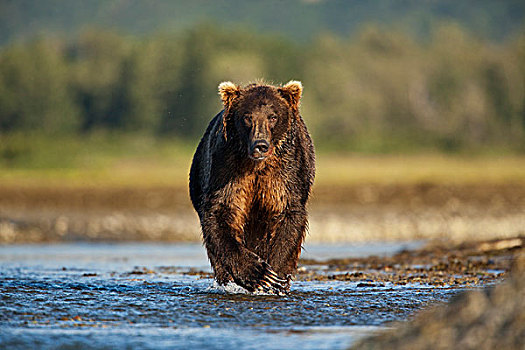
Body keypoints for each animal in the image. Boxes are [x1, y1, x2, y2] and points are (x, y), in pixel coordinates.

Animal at [189, 80, 316, 294]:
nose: (260, 145)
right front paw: (260, 274)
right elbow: (221, 214)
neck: (256, 165)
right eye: (247, 117)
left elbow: (288, 216)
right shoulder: (228, 169)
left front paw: (275, 278)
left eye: (273, 116)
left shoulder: (285, 174)